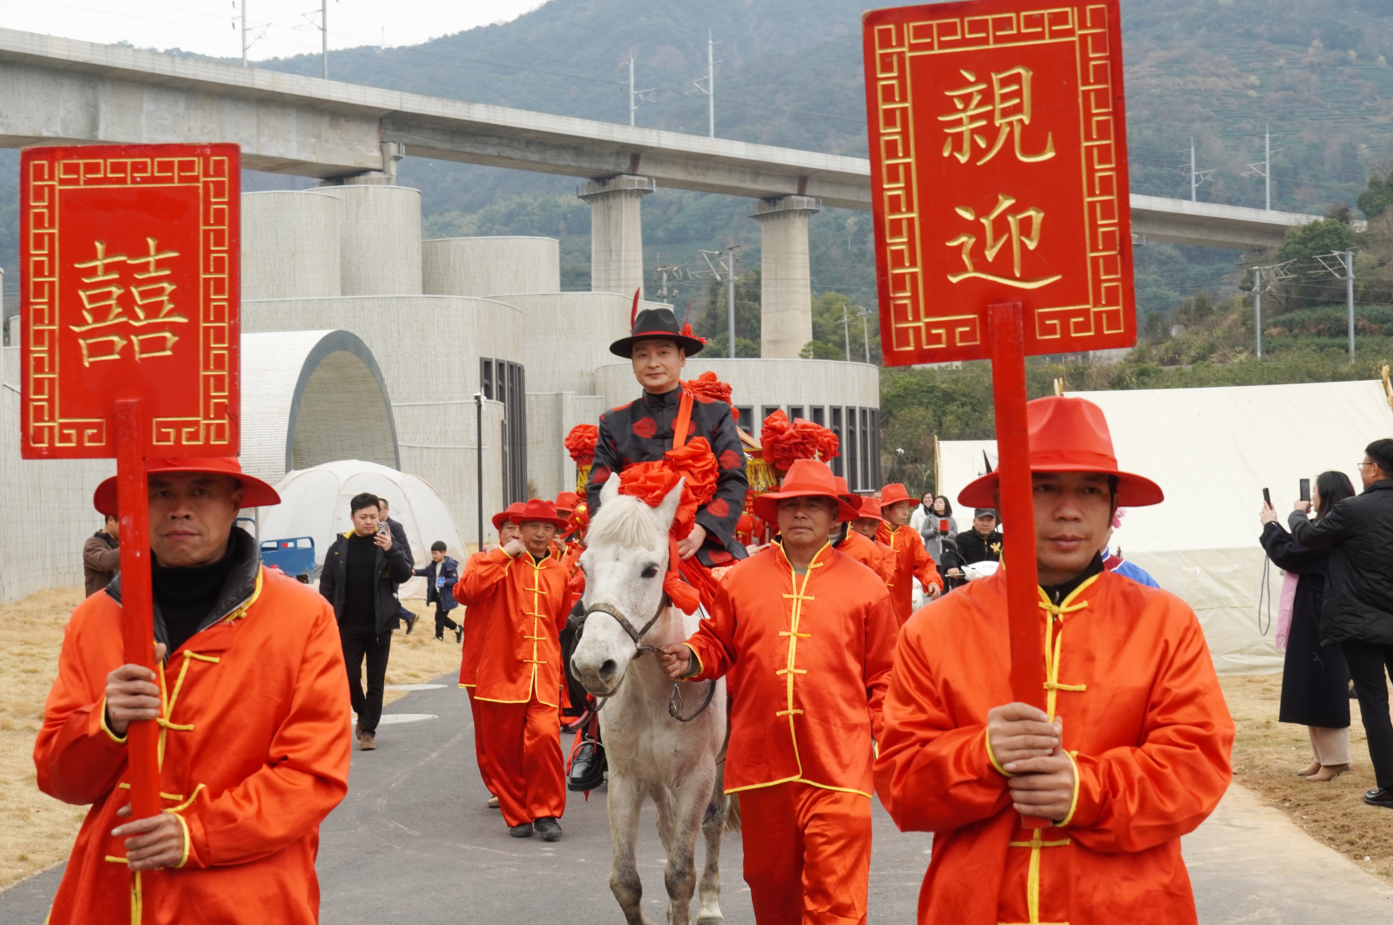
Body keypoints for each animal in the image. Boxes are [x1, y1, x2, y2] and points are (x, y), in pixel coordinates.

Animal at [568, 476, 735, 925]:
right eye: (583, 567)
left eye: (650, 570)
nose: (593, 666)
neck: (653, 692)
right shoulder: (627, 778)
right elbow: (626, 881)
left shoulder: (698, 775)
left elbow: (680, 875)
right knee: (666, 825)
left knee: (714, 822)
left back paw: (710, 904)